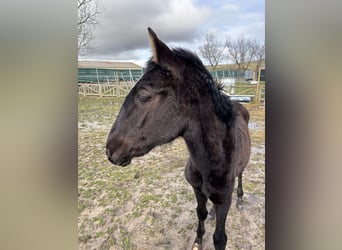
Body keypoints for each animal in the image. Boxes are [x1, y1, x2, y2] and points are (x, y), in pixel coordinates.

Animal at [106, 27, 251, 250]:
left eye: (144, 95)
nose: (110, 149)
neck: (210, 162)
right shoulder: (197, 189)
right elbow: (200, 213)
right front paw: (198, 241)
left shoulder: (224, 199)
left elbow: (220, 238)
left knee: (241, 175)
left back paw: (241, 199)